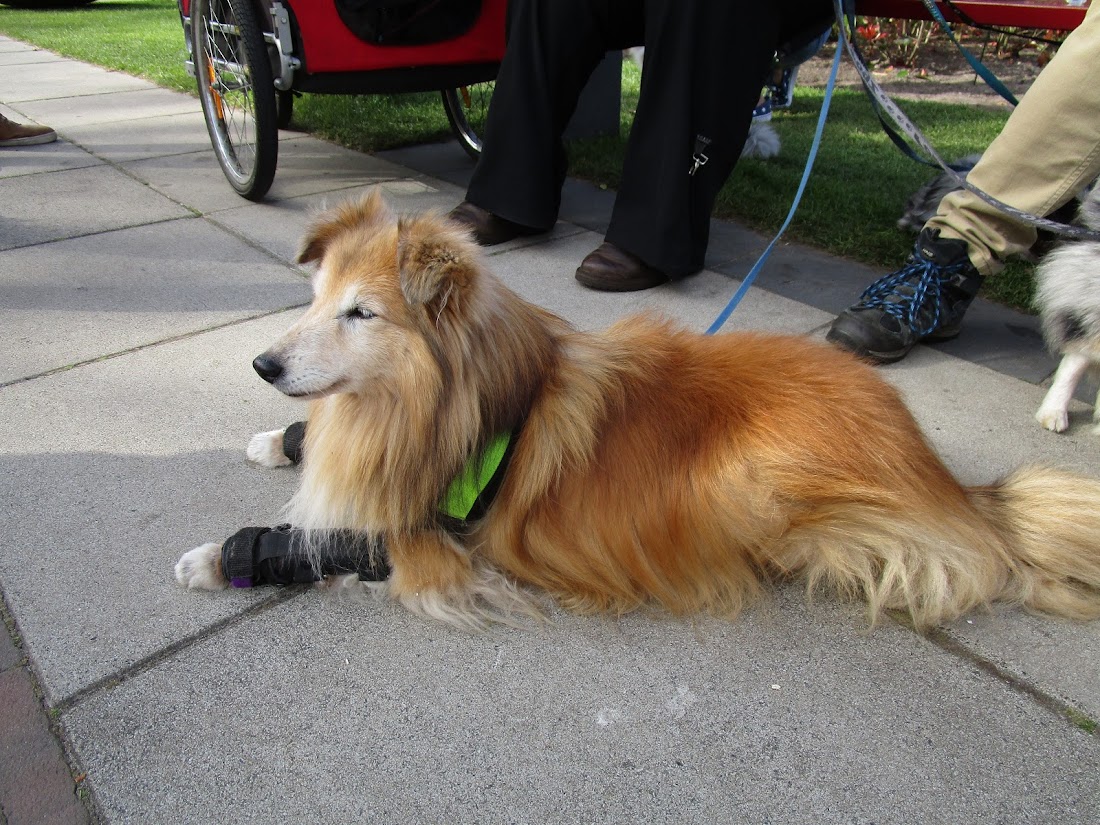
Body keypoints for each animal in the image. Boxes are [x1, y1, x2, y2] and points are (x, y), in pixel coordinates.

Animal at [176, 193, 1100, 629]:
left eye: (362, 313)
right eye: (314, 297)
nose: (263, 365)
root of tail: (947, 481)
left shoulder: (430, 529)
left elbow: (321, 541)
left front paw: (221, 556)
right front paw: (276, 438)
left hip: (758, 478)